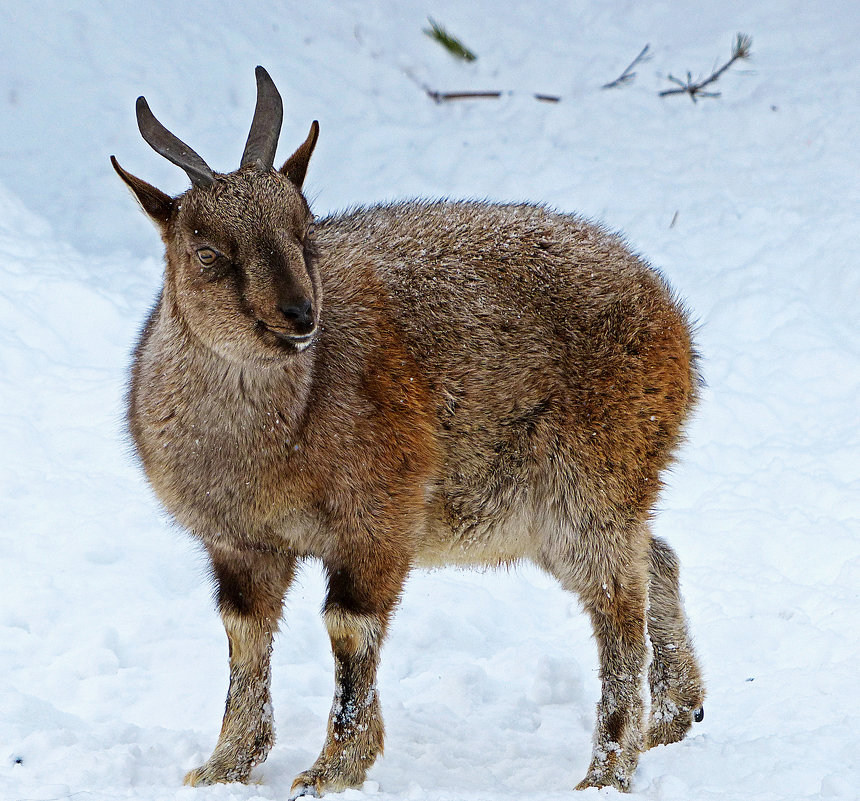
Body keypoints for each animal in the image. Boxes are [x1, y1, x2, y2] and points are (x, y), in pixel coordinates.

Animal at [114, 67, 704, 792]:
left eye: (306, 232)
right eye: (207, 253)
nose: (299, 315)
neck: (270, 446)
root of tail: (671, 319)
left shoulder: (377, 520)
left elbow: (349, 628)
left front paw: (332, 768)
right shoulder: (240, 544)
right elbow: (244, 634)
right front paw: (224, 763)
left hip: (591, 482)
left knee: (619, 607)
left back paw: (608, 768)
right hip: (552, 513)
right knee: (656, 556)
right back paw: (674, 715)